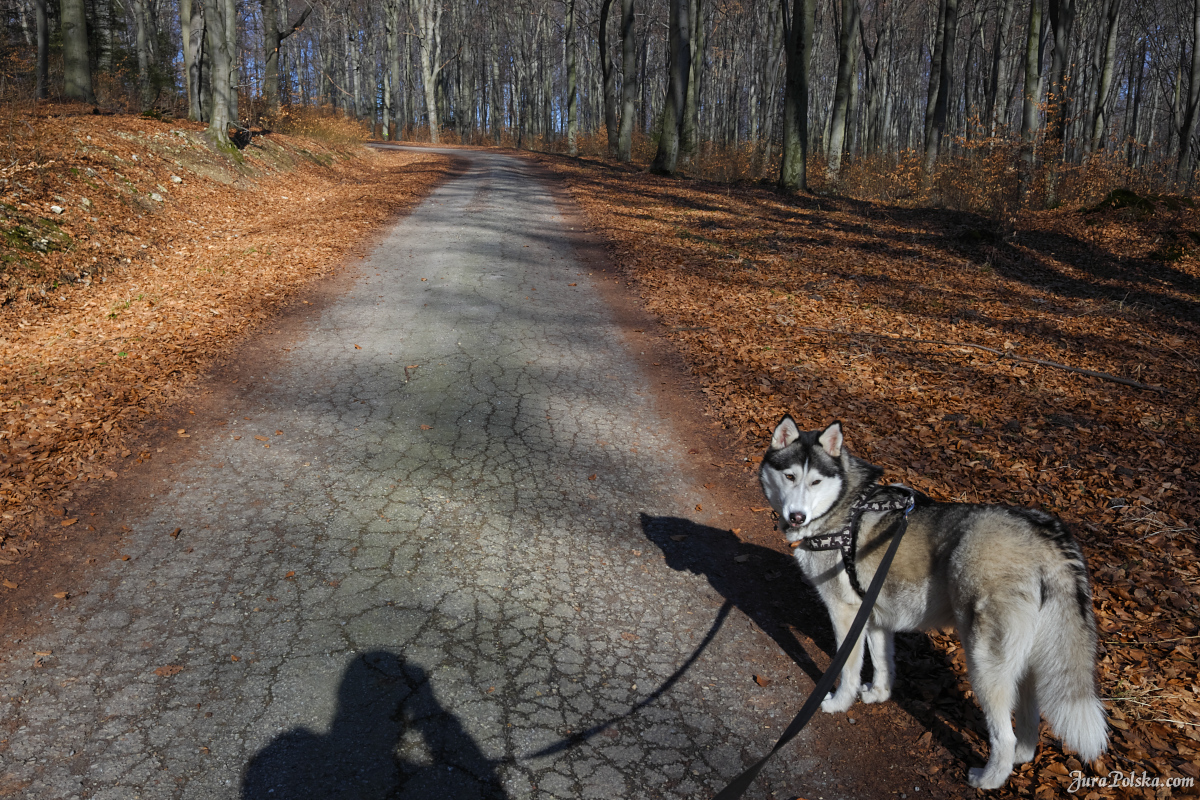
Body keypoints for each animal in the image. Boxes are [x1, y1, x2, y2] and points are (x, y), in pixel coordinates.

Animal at [758, 417, 1104, 791]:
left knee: (1004, 735)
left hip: (984, 662)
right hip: (1025, 662)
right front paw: (879, 694)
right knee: (1027, 723)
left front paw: (839, 703)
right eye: (789, 477)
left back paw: (989, 779)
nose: (796, 516)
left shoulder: (845, 614)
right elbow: (882, 662)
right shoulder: (875, 616)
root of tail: (1046, 533)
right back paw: (1019, 758)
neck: (843, 507)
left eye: (815, 482)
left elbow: (847, 669)